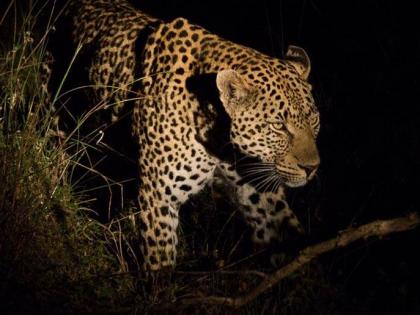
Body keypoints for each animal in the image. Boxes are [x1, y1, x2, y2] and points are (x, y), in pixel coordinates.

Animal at [53, 0, 322, 272]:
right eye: (278, 125)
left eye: (313, 119)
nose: (311, 168)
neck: (219, 138)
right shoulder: (158, 197)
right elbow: (160, 264)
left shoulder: (259, 195)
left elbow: (288, 237)